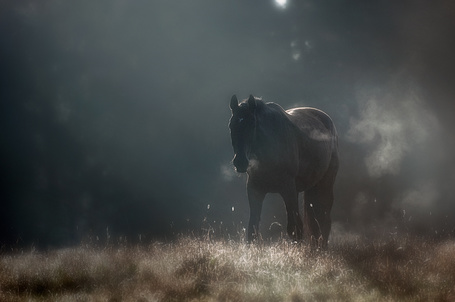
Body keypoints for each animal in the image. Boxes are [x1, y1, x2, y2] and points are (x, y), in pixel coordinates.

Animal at [230, 94, 340, 248]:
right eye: (231, 125)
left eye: (252, 125)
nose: (240, 162)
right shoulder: (254, 189)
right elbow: (253, 227)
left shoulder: (288, 189)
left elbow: (295, 227)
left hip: (326, 183)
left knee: (324, 219)